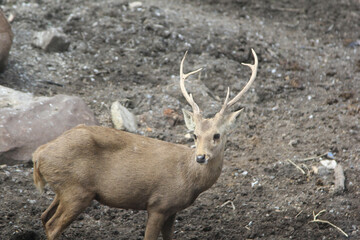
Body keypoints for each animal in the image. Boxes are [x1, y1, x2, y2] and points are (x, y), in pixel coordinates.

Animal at [32, 47, 258, 239]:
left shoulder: (172, 209)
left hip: (65, 189)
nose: (201, 157)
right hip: (76, 190)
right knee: (52, 225)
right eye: (194, 135)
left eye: (217, 135)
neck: (188, 177)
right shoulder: (159, 203)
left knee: (43, 217)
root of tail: (39, 154)